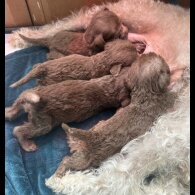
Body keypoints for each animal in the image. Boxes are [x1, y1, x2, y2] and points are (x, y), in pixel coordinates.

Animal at [9, 39, 137, 87]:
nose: (139, 51)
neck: (104, 58)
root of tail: (43, 69)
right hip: (49, 80)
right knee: (40, 82)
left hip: (46, 65)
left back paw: (36, 65)